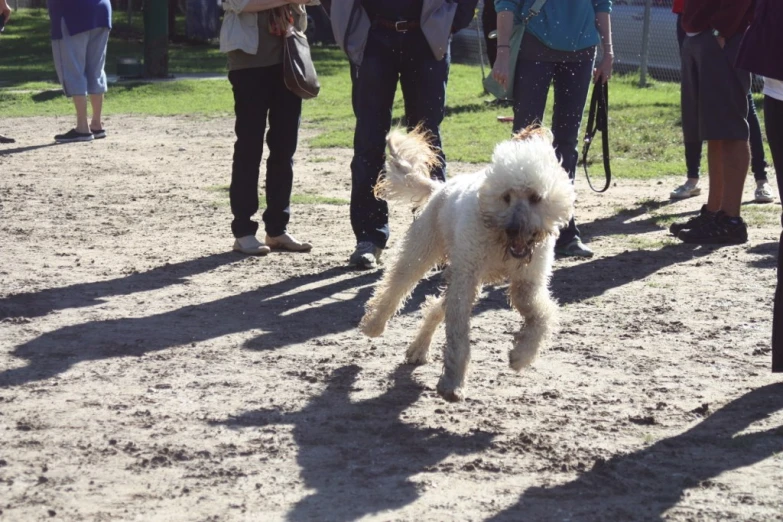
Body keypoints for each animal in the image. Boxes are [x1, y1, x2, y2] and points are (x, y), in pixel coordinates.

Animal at [358, 127, 572, 402]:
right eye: (506, 196)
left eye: (535, 197)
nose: (515, 229)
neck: (499, 238)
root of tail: (440, 188)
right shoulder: (466, 281)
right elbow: (458, 334)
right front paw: (452, 383)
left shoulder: (527, 282)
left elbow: (541, 315)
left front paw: (521, 356)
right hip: (422, 252)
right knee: (395, 286)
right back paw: (373, 325)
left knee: (434, 307)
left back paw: (418, 349)